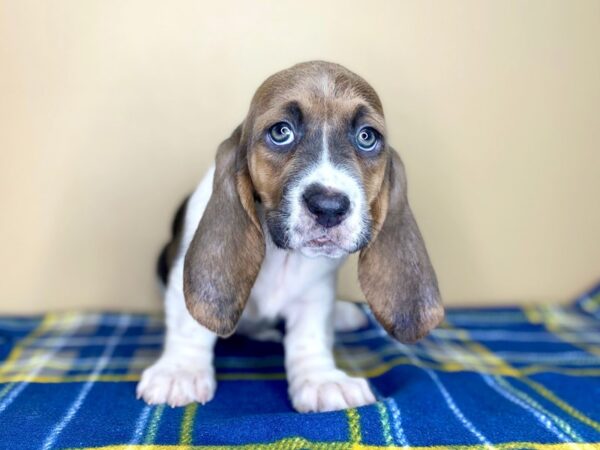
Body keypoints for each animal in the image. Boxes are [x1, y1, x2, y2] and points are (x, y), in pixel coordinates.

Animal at [137, 61, 446, 414]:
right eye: (281, 132)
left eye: (367, 137)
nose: (329, 207)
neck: (281, 253)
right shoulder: (180, 278)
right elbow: (189, 324)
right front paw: (180, 372)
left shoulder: (316, 291)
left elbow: (309, 335)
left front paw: (321, 380)